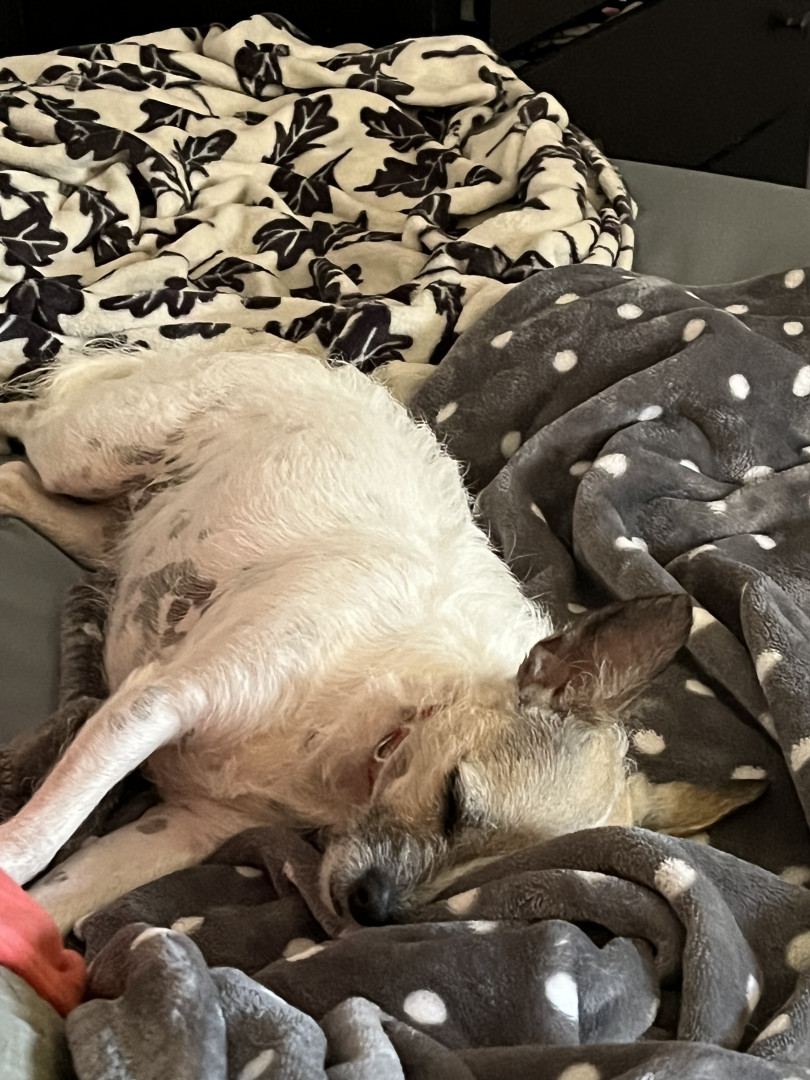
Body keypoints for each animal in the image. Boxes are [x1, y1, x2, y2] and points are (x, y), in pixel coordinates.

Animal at [0, 339, 765, 933]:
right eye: (455, 802)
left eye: (475, 882)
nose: (373, 911)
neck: (379, 730)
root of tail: (298, 354)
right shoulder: (156, 703)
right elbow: (38, 841)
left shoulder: (186, 823)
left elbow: (56, 897)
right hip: (86, 453)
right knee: (27, 414)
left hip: (104, 528)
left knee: (16, 478)